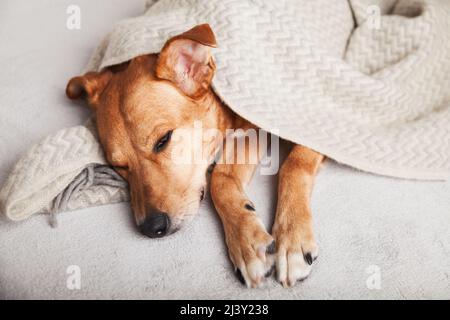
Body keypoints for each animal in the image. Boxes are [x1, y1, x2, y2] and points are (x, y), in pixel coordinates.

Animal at [66, 23, 324, 288]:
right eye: (118, 165)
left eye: (163, 140)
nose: (152, 227)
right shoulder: (249, 131)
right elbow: (220, 180)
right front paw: (247, 242)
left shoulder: (313, 116)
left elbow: (294, 165)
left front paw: (291, 240)